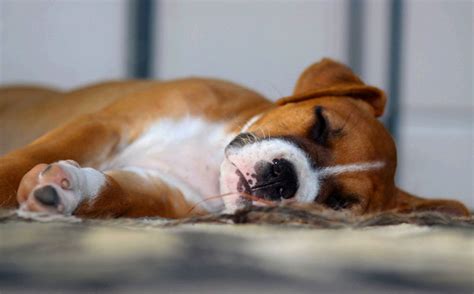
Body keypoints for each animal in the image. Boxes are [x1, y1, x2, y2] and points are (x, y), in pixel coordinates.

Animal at [0, 58, 468, 218]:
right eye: (320, 122)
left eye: (338, 204)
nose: (282, 178)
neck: (209, 158)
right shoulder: (105, 125)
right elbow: (26, 160)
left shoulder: (160, 192)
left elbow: (107, 192)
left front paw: (62, 190)